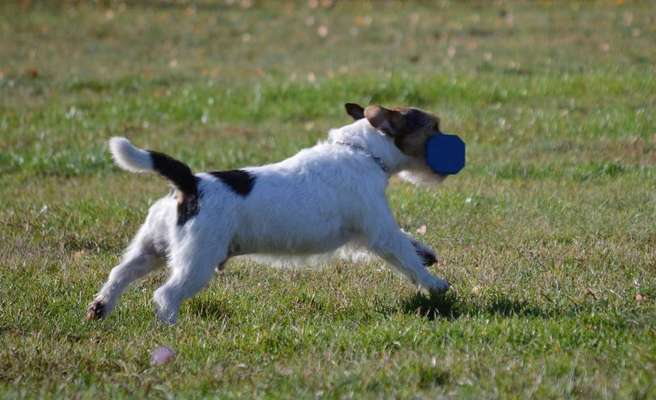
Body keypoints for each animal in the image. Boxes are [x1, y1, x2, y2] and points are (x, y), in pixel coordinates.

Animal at [87, 104, 452, 324]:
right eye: (433, 125)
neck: (361, 152)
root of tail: (189, 183)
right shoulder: (379, 230)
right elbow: (406, 257)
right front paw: (436, 284)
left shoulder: (363, 236)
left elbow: (410, 245)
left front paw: (427, 253)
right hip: (196, 262)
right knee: (165, 294)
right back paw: (169, 328)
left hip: (151, 249)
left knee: (119, 273)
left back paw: (100, 308)